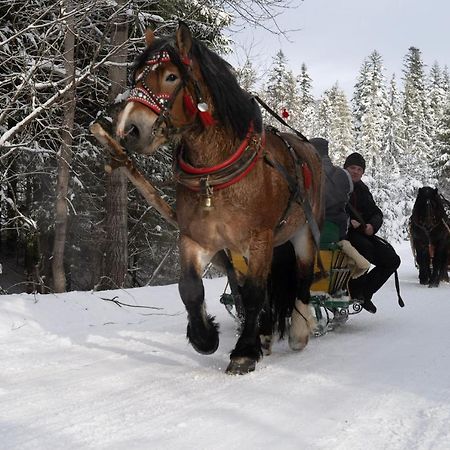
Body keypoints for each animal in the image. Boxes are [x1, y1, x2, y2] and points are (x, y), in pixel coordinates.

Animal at [112, 24, 324, 374]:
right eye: (136, 77)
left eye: (171, 76)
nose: (128, 130)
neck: (214, 174)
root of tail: (309, 148)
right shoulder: (197, 238)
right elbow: (190, 288)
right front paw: (205, 337)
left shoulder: (260, 238)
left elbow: (252, 294)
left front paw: (244, 352)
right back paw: (265, 333)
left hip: (302, 232)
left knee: (302, 279)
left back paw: (298, 332)